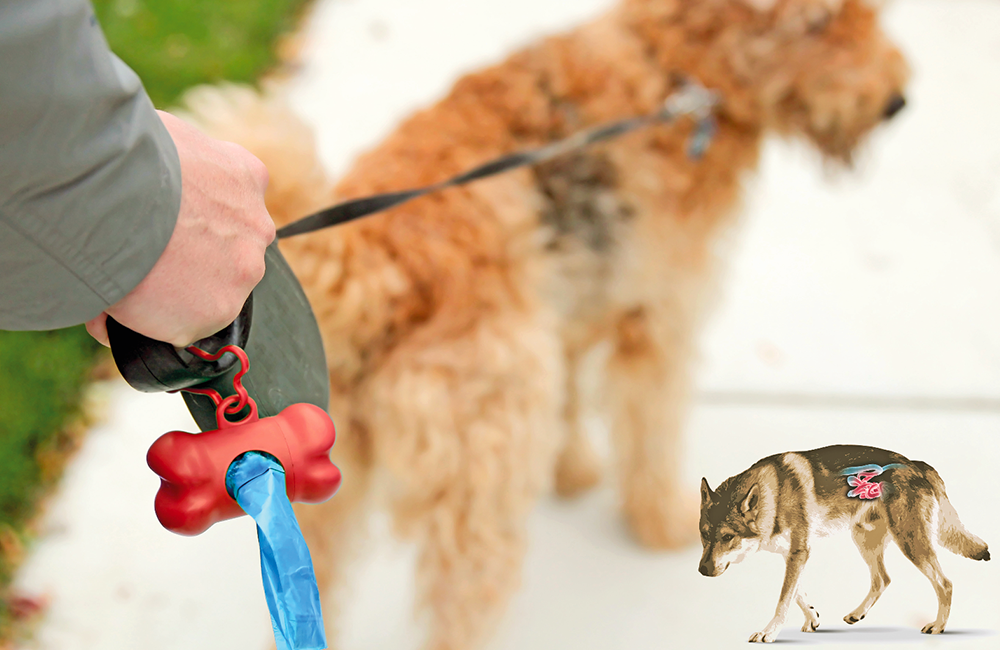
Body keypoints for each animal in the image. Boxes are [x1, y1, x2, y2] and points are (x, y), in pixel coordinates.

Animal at [180, 0, 908, 644]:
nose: (897, 101)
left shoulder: (573, 308)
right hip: (480, 495)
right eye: (817, 22)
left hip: (326, 493)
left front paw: (575, 472)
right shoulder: (658, 318)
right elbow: (650, 435)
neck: (673, 66)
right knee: (457, 619)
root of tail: (374, 262)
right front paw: (665, 521)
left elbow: (574, 401)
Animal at [700, 442, 988, 640]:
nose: (702, 570)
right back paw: (857, 614)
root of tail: (917, 464)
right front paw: (813, 618)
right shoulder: (793, 554)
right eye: (703, 534)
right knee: (882, 579)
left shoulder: (798, 553)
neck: (775, 494)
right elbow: (797, 594)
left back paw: (938, 626)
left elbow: (783, 599)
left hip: (910, 543)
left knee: (945, 584)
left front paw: (768, 633)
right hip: (864, 539)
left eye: (727, 537)